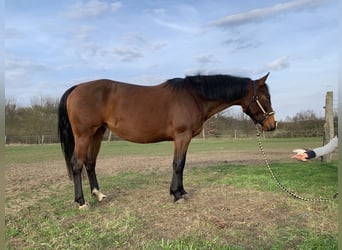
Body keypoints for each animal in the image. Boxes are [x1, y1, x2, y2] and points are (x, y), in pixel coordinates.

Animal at [57, 73, 276, 209]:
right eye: (265, 96)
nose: (272, 125)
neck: (194, 96)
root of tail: (76, 88)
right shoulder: (182, 136)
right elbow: (177, 164)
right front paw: (176, 195)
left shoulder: (185, 139)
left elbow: (182, 164)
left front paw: (182, 191)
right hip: (84, 135)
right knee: (77, 163)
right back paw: (81, 202)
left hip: (97, 133)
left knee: (90, 162)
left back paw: (99, 194)